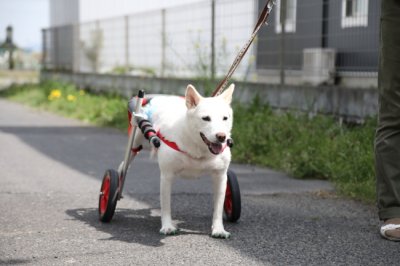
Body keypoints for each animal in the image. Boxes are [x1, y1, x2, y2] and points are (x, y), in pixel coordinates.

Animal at [131, 84, 233, 238]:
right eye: (206, 118)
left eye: (225, 118)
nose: (221, 136)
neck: (198, 148)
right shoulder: (167, 176)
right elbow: (166, 205)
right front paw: (167, 226)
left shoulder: (220, 177)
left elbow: (218, 207)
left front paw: (218, 229)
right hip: (136, 141)